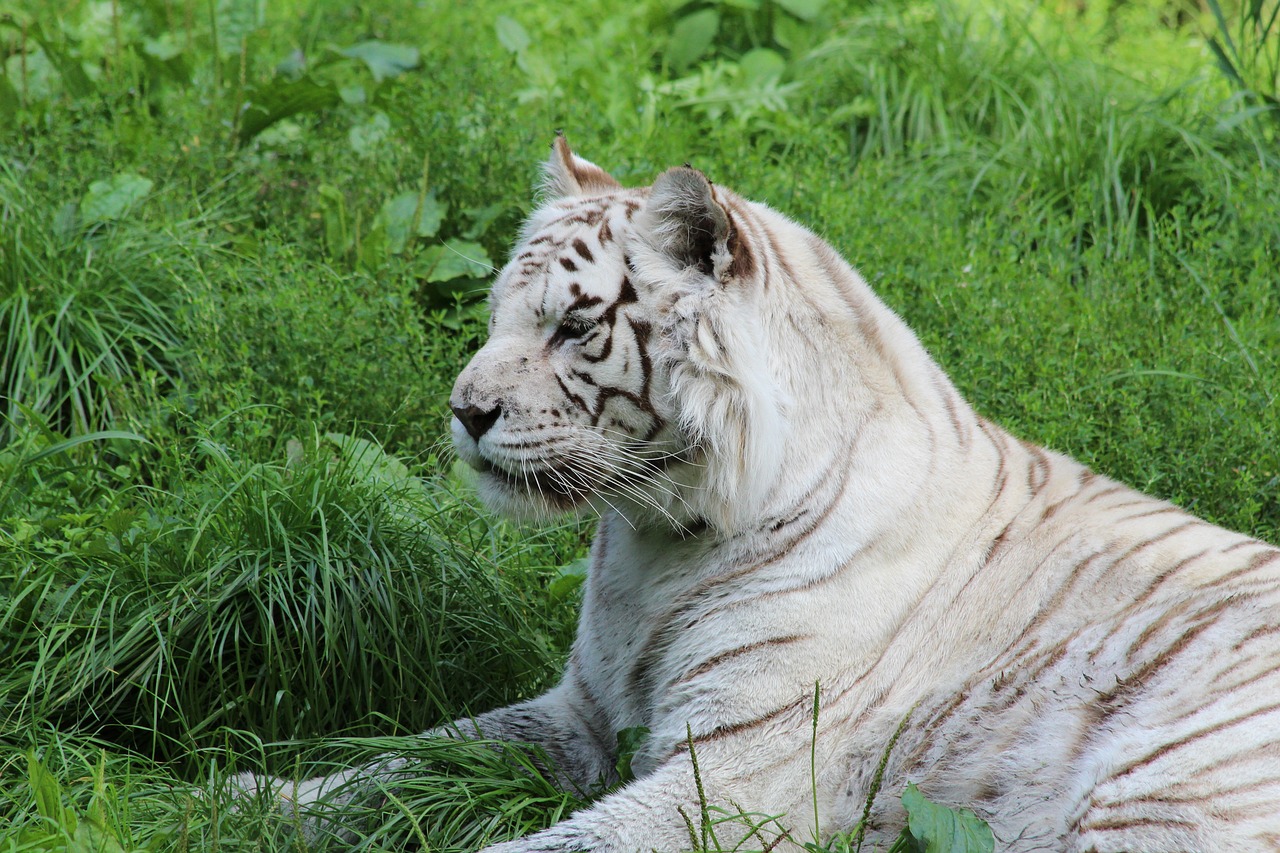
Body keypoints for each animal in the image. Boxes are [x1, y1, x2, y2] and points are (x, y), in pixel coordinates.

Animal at [241, 136, 1280, 845]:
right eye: (496, 314)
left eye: (573, 327)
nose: (463, 411)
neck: (655, 541)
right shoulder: (579, 712)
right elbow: (398, 759)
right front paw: (247, 795)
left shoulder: (736, 770)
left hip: (1159, 790)